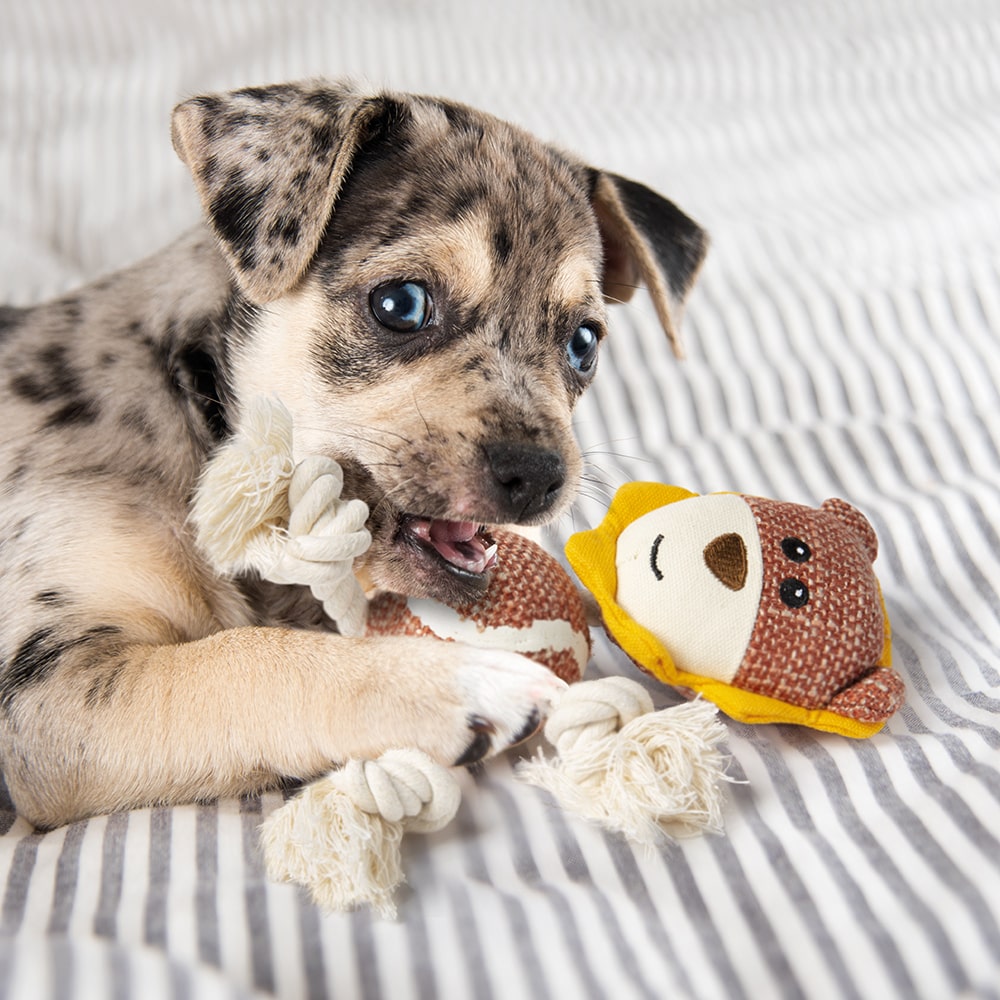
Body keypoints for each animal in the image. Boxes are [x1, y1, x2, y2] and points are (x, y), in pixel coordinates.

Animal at [0, 80, 708, 828]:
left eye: (584, 343)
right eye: (401, 304)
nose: (541, 477)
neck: (199, 420)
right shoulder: (51, 698)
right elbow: (243, 658)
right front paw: (451, 683)